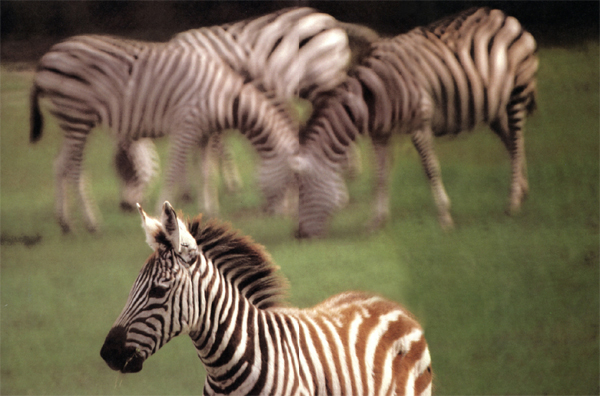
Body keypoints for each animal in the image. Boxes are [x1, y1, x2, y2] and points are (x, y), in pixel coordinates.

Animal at [296, 7, 540, 237]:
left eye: (304, 193)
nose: (299, 236)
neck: (371, 97)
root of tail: (503, 15)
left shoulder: (419, 125)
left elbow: (431, 169)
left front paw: (444, 218)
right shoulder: (380, 134)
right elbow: (380, 175)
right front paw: (376, 222)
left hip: (518, 92)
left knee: (516, 142)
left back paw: (513, 202)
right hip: (494, 107)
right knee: (511, 142)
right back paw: (522, 192)